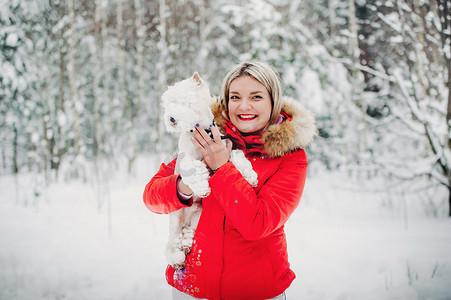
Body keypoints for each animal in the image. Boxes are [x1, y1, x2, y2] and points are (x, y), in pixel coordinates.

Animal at [162, 72, 258, 270]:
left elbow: (237, 158)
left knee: (188, 232)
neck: (201, 130)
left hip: (197, 216)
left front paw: (250, 176)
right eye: (168, 105)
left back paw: (186, 244)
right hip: (175, 219)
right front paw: (203, 188)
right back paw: (177, 257)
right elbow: (195, 170)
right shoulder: (187, 160)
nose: (171, 119)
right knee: (171, 243)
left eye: (185, 102)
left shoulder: (225, 146)